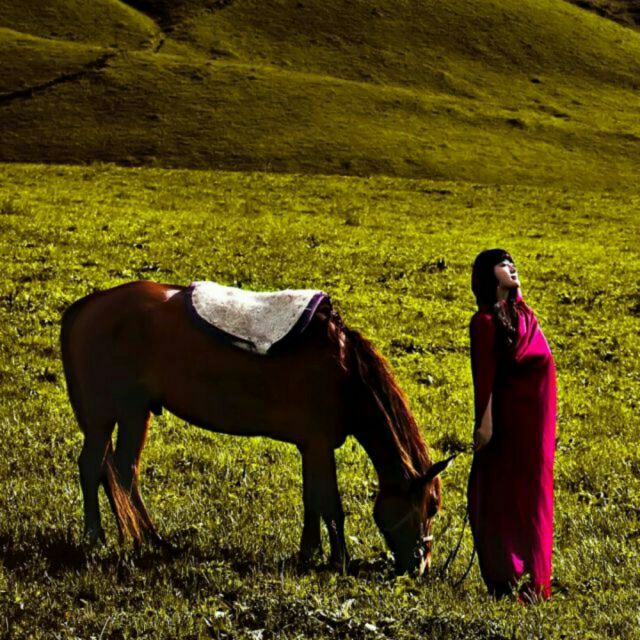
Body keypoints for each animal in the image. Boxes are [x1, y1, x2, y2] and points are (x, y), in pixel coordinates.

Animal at [58, 280, 450, 576]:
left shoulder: (311, 446)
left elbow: (312, 500)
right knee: (93, 467)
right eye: (430, 506)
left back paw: (150, 540)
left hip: (134, 412)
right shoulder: (320, 444)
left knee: (122, 471)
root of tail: (87, 307)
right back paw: (97, 537)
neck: (344, 371)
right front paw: (339, 560)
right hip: (105, 415)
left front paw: (309, 552)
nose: (421, 568)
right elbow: (331, 505)